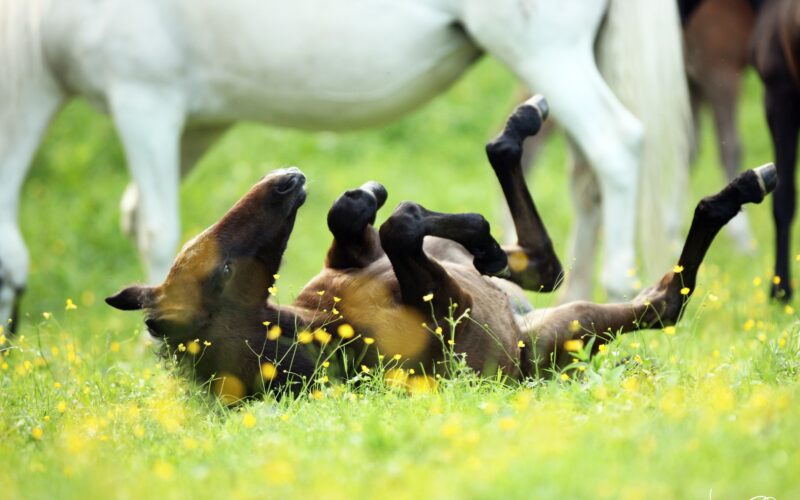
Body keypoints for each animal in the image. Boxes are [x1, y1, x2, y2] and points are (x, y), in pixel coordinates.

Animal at [0, 0, 689, 331]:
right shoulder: (195, 120)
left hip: (547, 51)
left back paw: (616, 286)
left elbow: (155, 227)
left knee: (616, 146)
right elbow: (143, 215)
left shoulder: (144, 98)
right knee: (580, 179)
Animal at [106, 97, 776, 400]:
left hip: (530, 302)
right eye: (220, 269)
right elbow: (405, 225)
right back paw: (741, 187)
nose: (285, 180)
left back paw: (517, 129)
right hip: (569, 330)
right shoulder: (452, 313)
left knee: (542, 262)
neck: (324, 327)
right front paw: (472, 231)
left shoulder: (351, 258)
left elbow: (357, 216)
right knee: (664, 299)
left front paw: (367, 192)